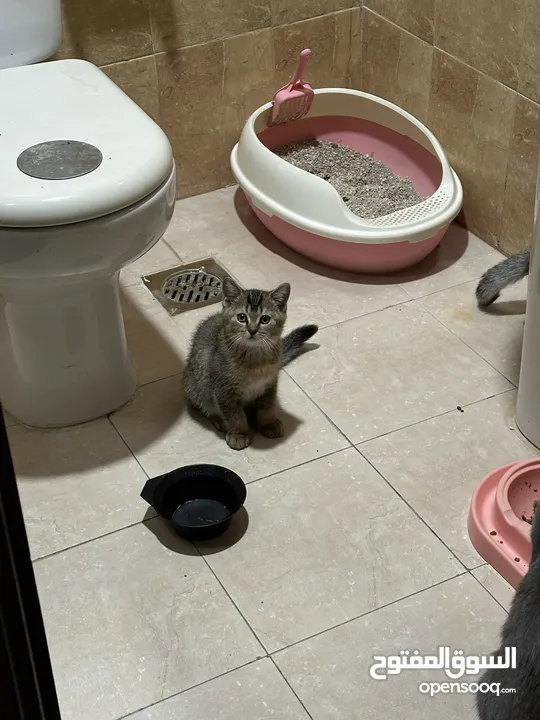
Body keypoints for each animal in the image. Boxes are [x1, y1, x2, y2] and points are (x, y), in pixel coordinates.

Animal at [184, 278, 318, 450]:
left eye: (265, 319)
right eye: (242, 317)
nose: (252, 330)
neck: (255, 359)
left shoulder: (269, 384)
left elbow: (267, 407)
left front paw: (268, 424)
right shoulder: (224, 390)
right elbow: (234, 415)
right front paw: (239, 434)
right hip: (196, 385)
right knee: (204, 405)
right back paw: (219, 420)